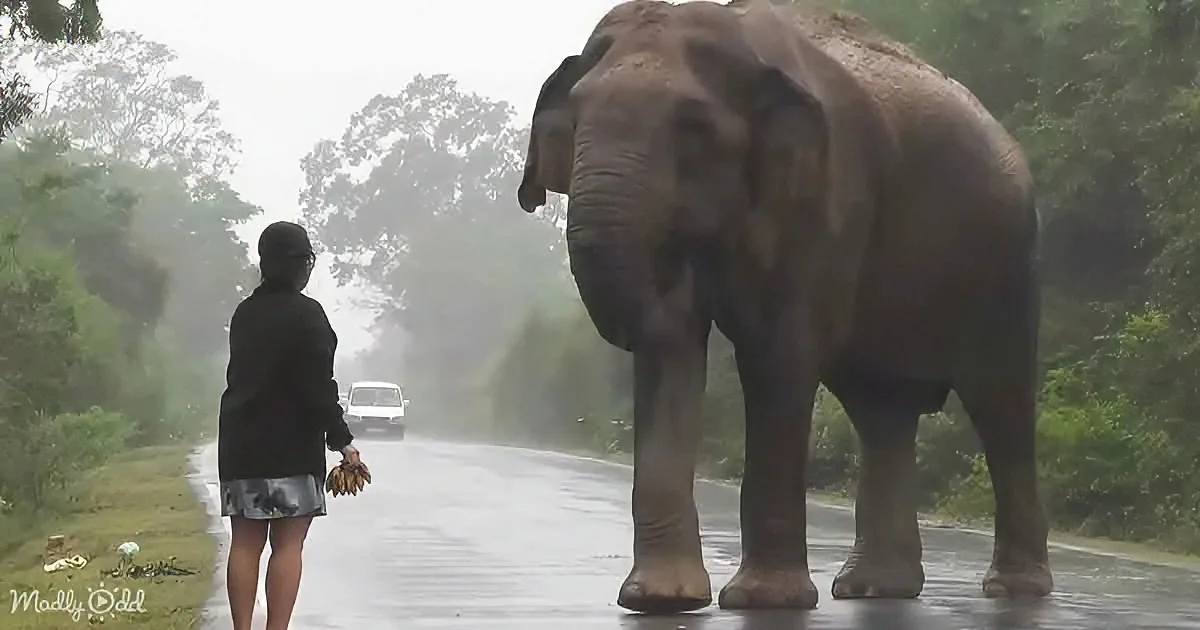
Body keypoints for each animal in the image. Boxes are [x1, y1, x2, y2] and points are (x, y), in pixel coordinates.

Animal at [515, 0, 1052, 613]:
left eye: (693, 127)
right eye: (575, 118)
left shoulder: (825, 198)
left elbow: (777, 353)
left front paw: (761, 600)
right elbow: (672, 348)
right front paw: (660, 600)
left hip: (1008, 260)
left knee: (1000, 402)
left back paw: (1012, 589)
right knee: (882, 410)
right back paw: (873, 589)